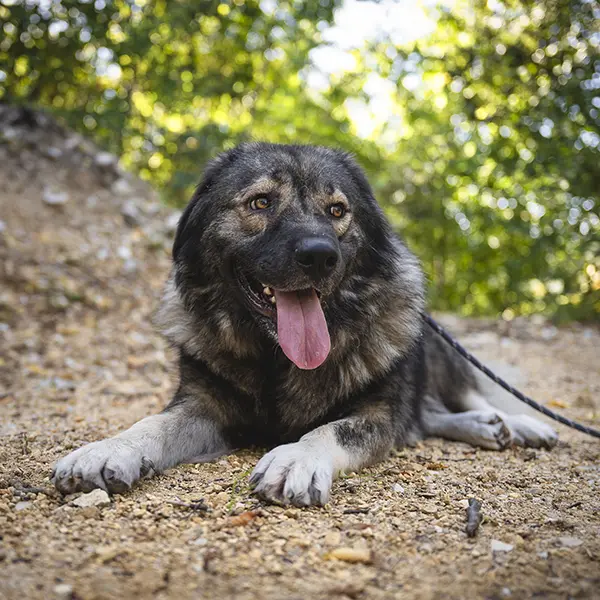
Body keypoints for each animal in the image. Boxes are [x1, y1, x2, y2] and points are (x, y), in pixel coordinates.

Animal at [51, 143, 556, 504]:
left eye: (337, 210)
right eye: (260, 202)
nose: (319, 256)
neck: (275, 358)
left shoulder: (381, 413)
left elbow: (331, 429)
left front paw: (296, 456)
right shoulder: (203, 405)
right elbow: (150, 424)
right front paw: (108, 448)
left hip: (435, 344)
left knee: (459, 396)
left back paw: (514, 424)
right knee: (429, 415)